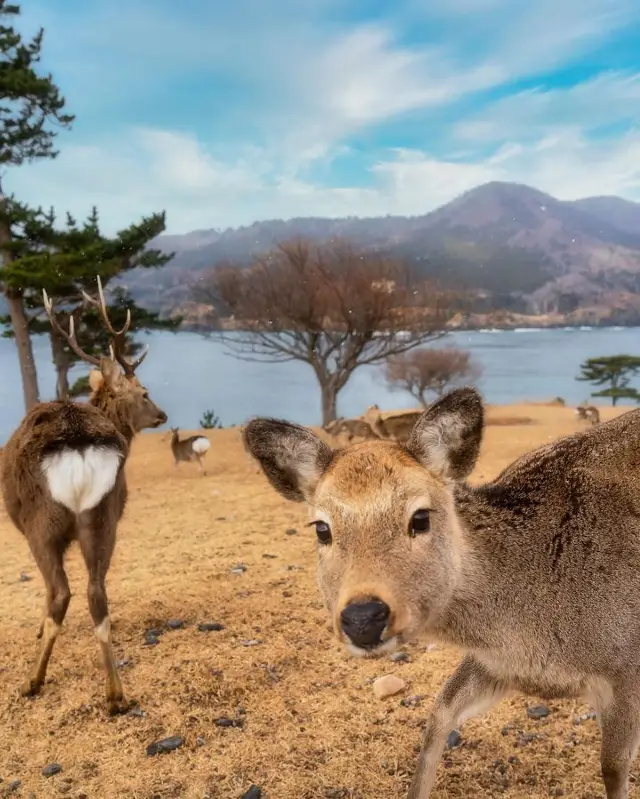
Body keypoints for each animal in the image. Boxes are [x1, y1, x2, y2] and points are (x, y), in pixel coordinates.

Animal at [0, 278, 169, 716]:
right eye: (145, 392)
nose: (162, 415)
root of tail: (78, 444)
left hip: (42, 525)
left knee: (61, 592)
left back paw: (32, 681)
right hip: (103, 517)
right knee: (96, 592)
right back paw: (115, 695)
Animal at [244, 384, 640, 796]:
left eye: (420, 517)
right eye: (322, 528)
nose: (363, 618)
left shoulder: (627, 668)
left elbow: (613, 768)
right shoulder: (494, 665)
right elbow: (439, 713)